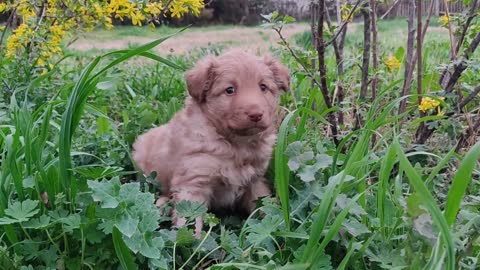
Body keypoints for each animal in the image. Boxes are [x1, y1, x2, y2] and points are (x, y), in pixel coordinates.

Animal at [131, 49, 288, 235]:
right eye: (230, 90)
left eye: (263, 87)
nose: (256, 114)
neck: (236, 144)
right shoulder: (193, 182)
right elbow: (189, 222)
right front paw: (191, 242)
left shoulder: (255, 180)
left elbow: (263, 205)